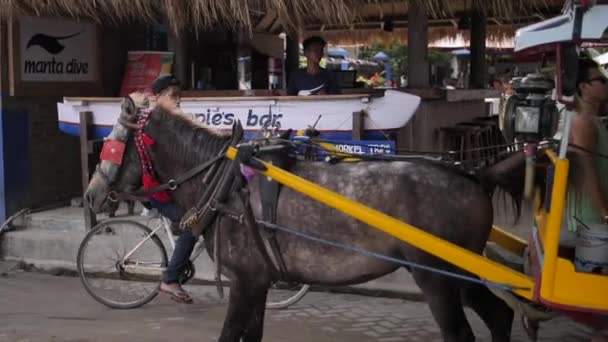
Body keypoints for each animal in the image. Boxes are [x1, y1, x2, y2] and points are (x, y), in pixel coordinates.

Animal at [83, 97, 524, 342]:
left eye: (110, 145)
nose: (90, 195)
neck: (223, 181)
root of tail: (475, 175)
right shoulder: (257, 281)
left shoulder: (245, 281)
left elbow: (230, 336)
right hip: (460, 273)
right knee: (501, 315)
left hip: (436, 277)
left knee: (461, 332)